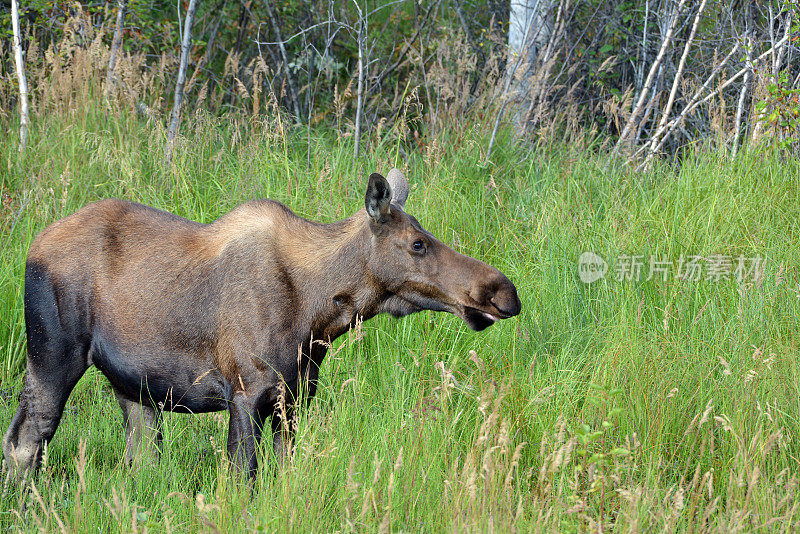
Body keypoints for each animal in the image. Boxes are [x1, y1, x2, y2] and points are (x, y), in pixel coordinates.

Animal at [3, 172, 520, 482]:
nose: (503, 292)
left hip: (133, 388)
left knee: (139, 458)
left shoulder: (294, 401)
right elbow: (243, 479)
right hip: (53, 356)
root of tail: (33, 244)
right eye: (417, 244)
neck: (320, 315)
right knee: (25, 441)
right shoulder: (245, 392)